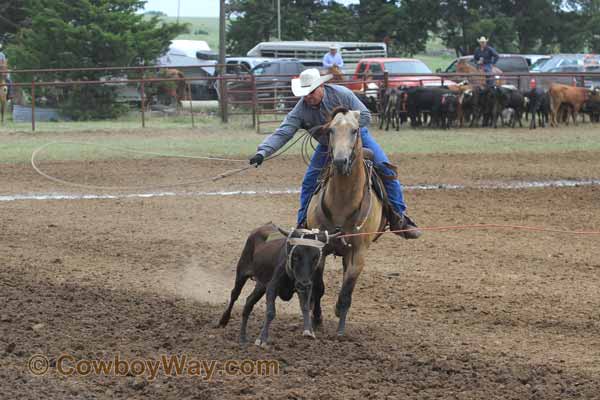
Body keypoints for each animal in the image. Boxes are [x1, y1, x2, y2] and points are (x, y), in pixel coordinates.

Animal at [308, 107, 386, 338]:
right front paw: (317, 319)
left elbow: (347, 289)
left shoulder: (359, 252)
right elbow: (318, 286)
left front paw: (341, 326)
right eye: (331, 130)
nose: (340, 161)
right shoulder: (321, 248)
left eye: (354, 130)